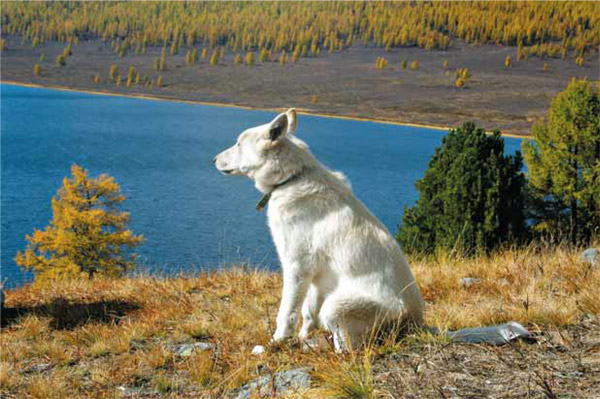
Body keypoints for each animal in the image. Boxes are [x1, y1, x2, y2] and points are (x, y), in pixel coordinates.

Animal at [213, 109, 424, 354]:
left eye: (238, 143)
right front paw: (302, 337)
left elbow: (287, 314)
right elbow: (308, 313)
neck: (291, 178)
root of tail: (414, 322)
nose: (213, 160)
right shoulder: (316, 277)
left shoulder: (296, 268)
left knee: (347, 349)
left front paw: (277, 342)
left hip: (335, 307)